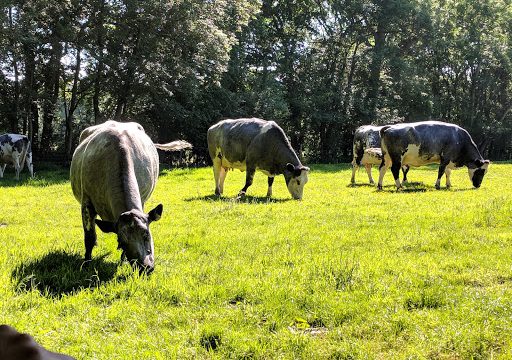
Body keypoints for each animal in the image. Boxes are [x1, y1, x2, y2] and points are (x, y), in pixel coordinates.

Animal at [70, 119, 192, 272]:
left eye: (146, 234)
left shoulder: (143, 199)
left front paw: (122, 262)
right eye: (122, 242)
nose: (146, 267)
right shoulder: (86, 202)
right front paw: (86, 264)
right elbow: (89, 238)